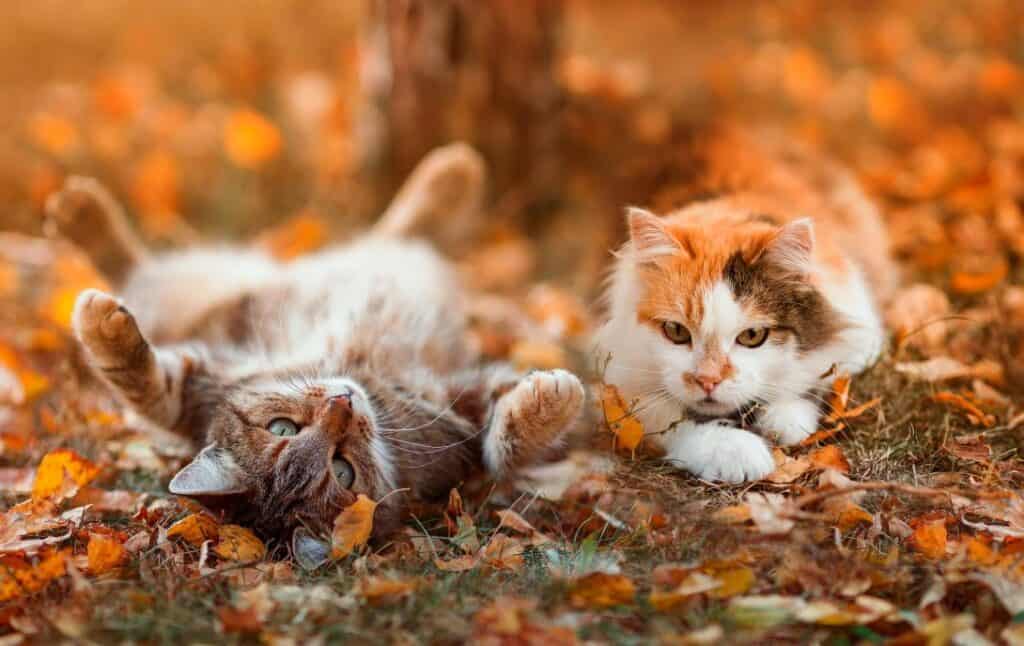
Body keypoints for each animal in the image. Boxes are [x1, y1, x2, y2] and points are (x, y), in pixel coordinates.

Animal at [46, 145, 585, 540]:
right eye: (341, 472)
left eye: (280, 427)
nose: (341, 405)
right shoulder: (458, 419)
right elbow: (504, 445)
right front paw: (551, 402)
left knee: (397, 233)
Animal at [593, 123, 897, 483]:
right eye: (676, 332)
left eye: (752, 337)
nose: (708, 381)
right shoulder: (616, 376)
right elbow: (667, 418)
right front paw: (734, 452)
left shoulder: (860, 335)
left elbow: (814, 379)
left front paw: (781, 420)